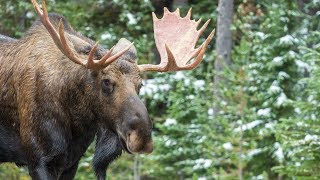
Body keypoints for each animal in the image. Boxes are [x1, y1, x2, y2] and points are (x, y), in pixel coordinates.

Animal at [0, 0, 215, 179]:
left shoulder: (71, 163)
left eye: (140, 85)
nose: (142, 137)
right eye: (106, 82)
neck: (77, 121)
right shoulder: (39, 160)